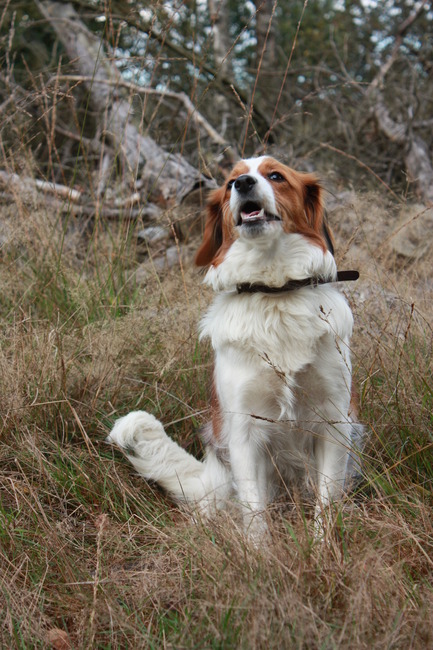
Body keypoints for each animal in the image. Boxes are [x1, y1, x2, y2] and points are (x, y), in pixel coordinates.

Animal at [108, 156, 363, 539]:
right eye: (230, 182)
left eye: (276, 176)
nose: (243, 184)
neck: (275, 294)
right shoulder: (245, 431)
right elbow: (255, 514)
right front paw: (259, 553)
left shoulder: (333, 420)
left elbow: (326, 504)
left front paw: (323, 547)